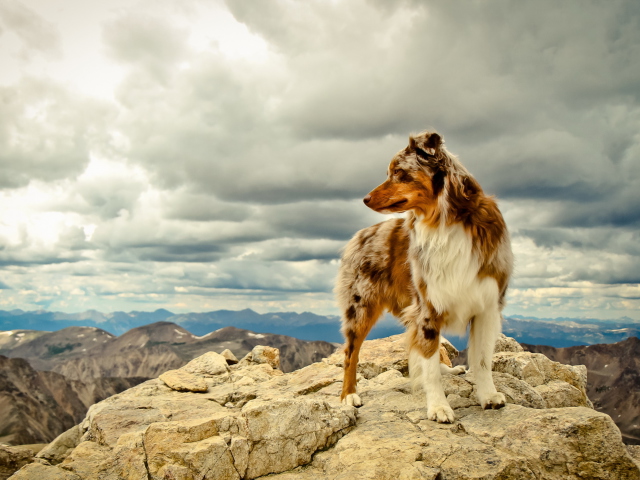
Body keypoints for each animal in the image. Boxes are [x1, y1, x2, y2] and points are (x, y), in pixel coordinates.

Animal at [332, 129, 512, 422]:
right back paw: (348, 395)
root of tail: (360, 235)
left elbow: (483, 360)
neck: (445, 222)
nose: (365, 199)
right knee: (351, 353)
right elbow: (428, 365)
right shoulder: (427, 306)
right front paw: (438, 407)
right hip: (361, 307)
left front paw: (488, 396)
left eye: (398, 172)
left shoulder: (487, 305)